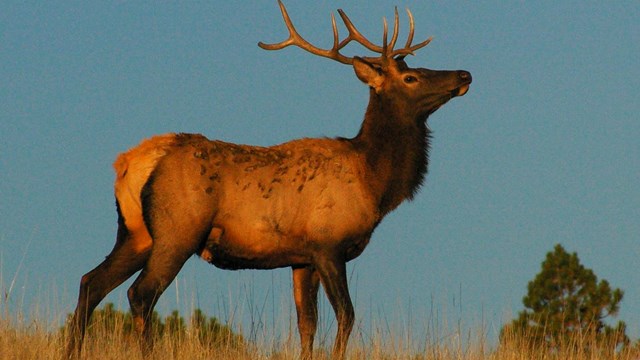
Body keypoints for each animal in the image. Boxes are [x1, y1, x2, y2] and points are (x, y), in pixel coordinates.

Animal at [67, 1, 472, 358]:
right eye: (410, 77)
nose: (464, 75)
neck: (374, 182)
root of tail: (130, 162)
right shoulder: (328, 243)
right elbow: (346, 316)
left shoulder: (301, 258)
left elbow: (307, 324)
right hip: (177, 230)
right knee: (140, 294)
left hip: (135, 232)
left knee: (90, 282)